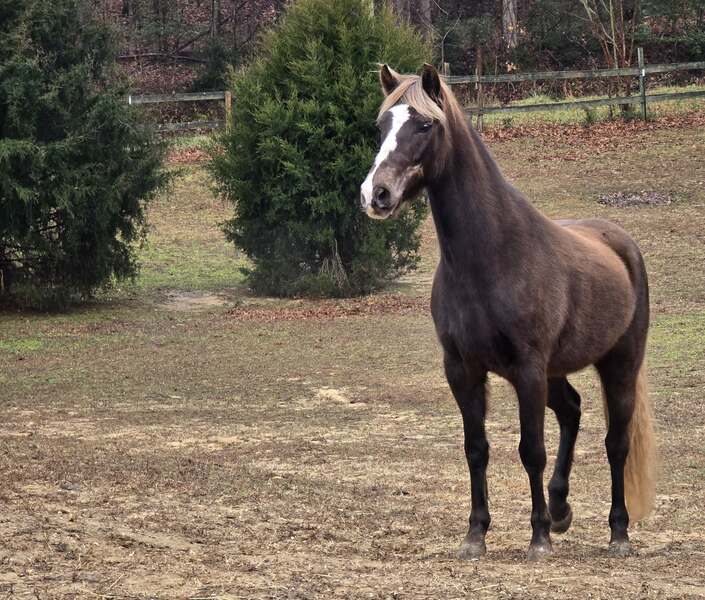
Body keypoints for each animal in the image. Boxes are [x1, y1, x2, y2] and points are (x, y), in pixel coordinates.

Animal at [359, 63, 656, 560]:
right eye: (382, 125)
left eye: (424, 125)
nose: (375, 194)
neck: (493, 254)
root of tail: (622, 245)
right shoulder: (462, 369)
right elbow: (476, 448)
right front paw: (476, 534)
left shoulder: (528, 369)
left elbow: (530, 449)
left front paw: (538, 539)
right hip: (556, 373)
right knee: (571, 410)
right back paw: (561, 510)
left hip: (617, 365)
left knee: (616, 443)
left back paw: (618, 533)